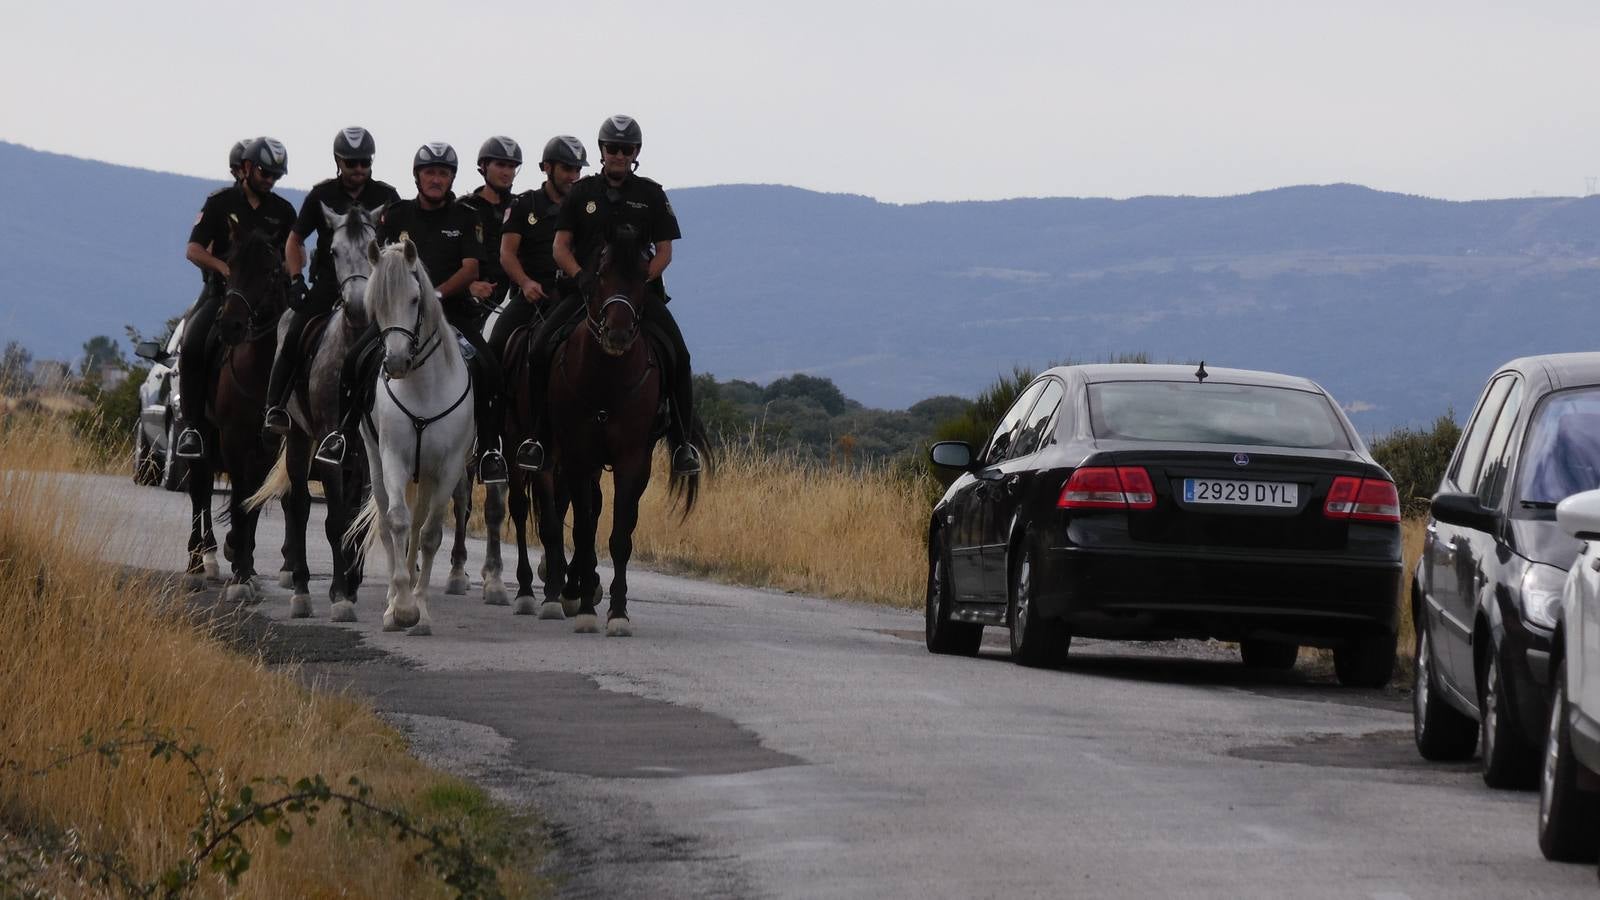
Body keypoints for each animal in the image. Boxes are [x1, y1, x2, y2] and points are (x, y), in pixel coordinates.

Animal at [185, 227, 289, 598]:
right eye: (229, 266)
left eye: (270, 272)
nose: (230, 324)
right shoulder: (233, 438)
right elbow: (241, 494)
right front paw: (238, 567)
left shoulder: (268, 444)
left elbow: (252, 499)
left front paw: (243, 565)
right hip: (200, 433)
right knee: (199, 490)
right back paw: (199, 564)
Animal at [345, 238, 473, 630]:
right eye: (377, 305)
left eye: (416, 299)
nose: (397, 363)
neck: (423, 389)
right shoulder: (394, 460)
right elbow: (396, 522)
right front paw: (400, 608)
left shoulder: (448, 468)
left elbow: (429, 534)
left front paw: (421, 609)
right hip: (376, 463)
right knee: (390, 525)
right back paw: (391, 598)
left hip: (428, 474)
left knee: (418, 526)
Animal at [534, 225, 704, 630]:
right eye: (599, 275)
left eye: (643, 277)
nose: (618, 334)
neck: (606, 379)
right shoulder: (579, 456)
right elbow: (583, 529)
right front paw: (582, 606)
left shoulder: (633, 459)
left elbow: (620, 535)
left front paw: (618, 612)